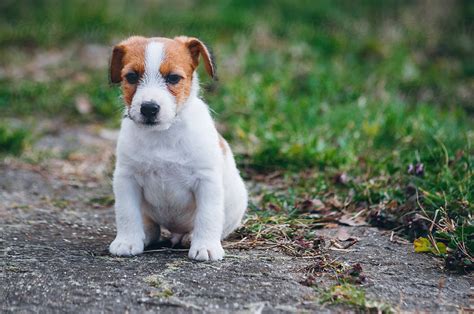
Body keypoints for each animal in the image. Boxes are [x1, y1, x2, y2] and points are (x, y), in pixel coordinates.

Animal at [108, 34, 248, 262]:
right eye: (131, 76)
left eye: (173, 78)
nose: (149, 108)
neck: (163, 135)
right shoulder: (126, 179)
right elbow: (127, 213)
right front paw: (127, 241)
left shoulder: (206, 181)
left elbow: (208, 216)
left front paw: (206, 246)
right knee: (150, 225)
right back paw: (146, 234)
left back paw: (189, 237)